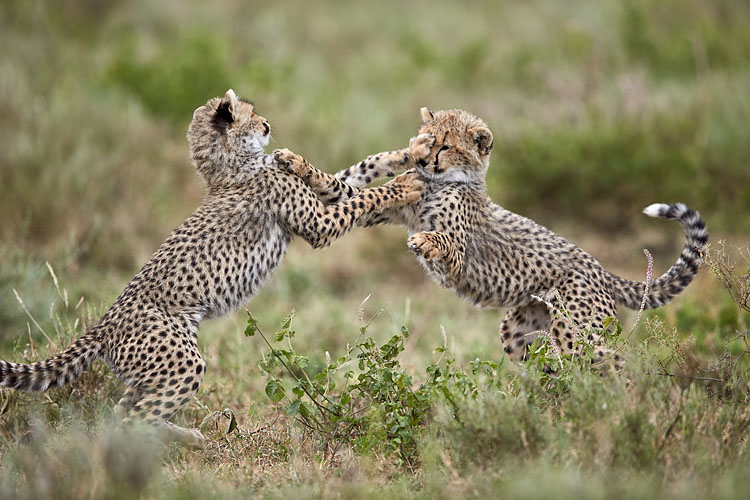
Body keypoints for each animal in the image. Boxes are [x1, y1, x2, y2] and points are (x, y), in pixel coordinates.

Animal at [0, 89, 423, 446]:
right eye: (252, 115)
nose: (268, 124)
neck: (231, 167)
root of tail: (102, 325)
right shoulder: (318, 223)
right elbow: (362, 195)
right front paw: (403, 187)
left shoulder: (318, 196)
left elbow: (355, 174)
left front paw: (403, 156)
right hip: (182, 362)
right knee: (131, 421)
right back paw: (179, 445)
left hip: (151, 372)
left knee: (122, 410)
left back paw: (187, 437)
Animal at [281, 107, 708, 370]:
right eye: (427, 138)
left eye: (446, 146)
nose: (422, 159)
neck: (442, 181)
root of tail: (601, 269)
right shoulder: (381, 210)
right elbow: (341, 189)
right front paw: (298, 163)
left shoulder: (457, 258)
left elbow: (445, 242)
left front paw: (425, 241)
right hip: (522, 330)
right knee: (553, 365)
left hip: (577, 330)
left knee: (612, 361)